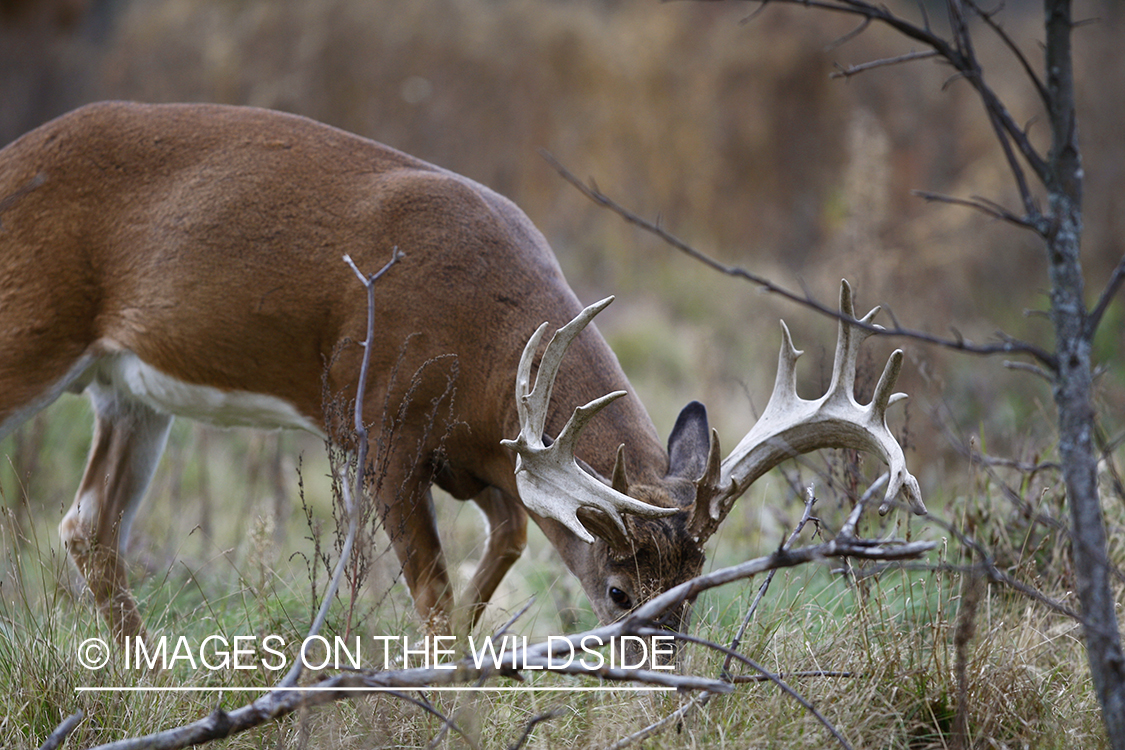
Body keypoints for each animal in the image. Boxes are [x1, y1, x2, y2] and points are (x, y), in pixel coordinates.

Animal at [0, 102, 922, 647]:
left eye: (693, 589)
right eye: (619, 590)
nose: (663, 681)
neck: (484, 348)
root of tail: (15, 153)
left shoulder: (481, 459)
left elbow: (506, 542)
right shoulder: (380, 429)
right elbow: (435, 595)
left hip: (129, 391)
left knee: (88, 525)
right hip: (30, 331)